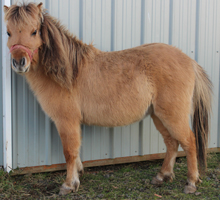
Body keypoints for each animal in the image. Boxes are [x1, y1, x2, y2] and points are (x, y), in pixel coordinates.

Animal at [4, 1, 212, 195]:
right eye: (8, 32)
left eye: (34, 31)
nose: (19, 62)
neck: (68, 73)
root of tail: (190, 61)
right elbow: (76, 152)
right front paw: (77, 175)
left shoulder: (66, 121)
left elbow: (69, 152)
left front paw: (69, 184)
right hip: (158, 115)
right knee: (171, 143)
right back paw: (162, 176)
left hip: (172, 115)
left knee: (189, 142)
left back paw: (191, 182)